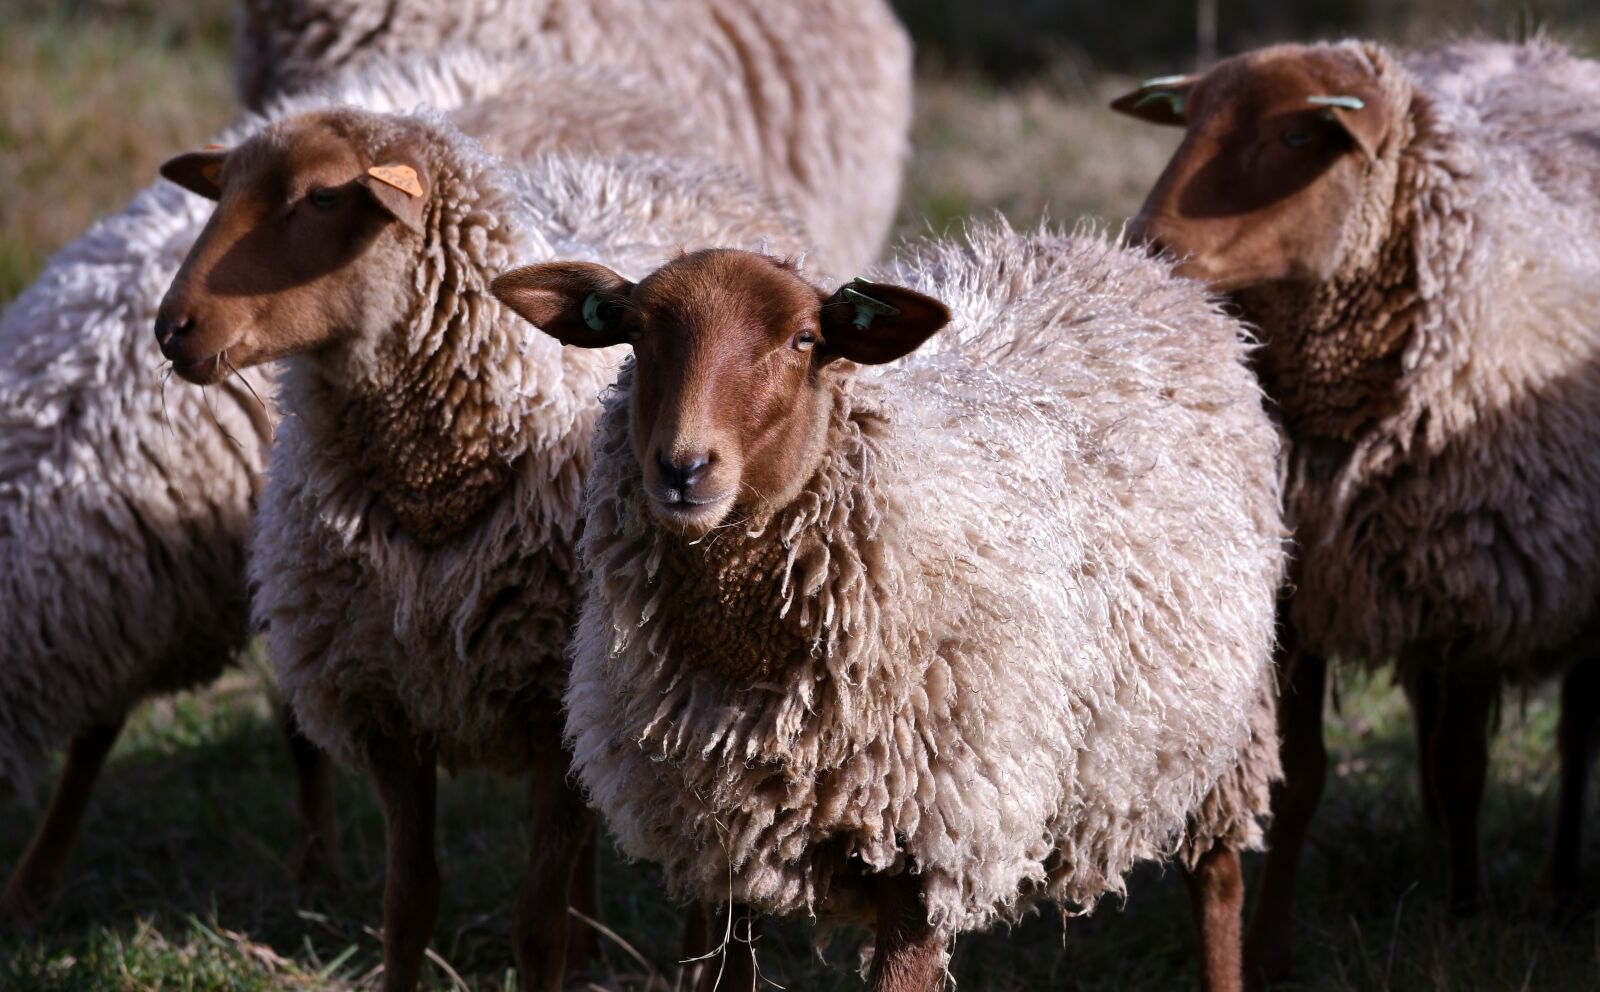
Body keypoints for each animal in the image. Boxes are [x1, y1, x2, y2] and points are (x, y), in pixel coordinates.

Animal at [154, 104, 811, 991]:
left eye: (323, 196)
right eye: (222, 189)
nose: (171, 329)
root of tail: (686, 168)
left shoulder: (547, 705)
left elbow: (534, 923)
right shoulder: (389, 704)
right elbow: (408, 903)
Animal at [492, 225, 1287, 992]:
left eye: (803, 339)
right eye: (635, 331)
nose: (684, 468)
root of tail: (1124, 256)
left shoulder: (932, 843)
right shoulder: (727, 849)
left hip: (1218, 730)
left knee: (1218, 877)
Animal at [1114, 38, 1600, 981]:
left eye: (1298, 133)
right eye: (1189, 121)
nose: (1147, 246)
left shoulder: (1480, 582)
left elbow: (1464, 764)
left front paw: (1465, 915)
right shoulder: (1303, 595)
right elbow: (1303, 778)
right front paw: (1269, 945)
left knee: (1577, 734)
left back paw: (1561, 885)